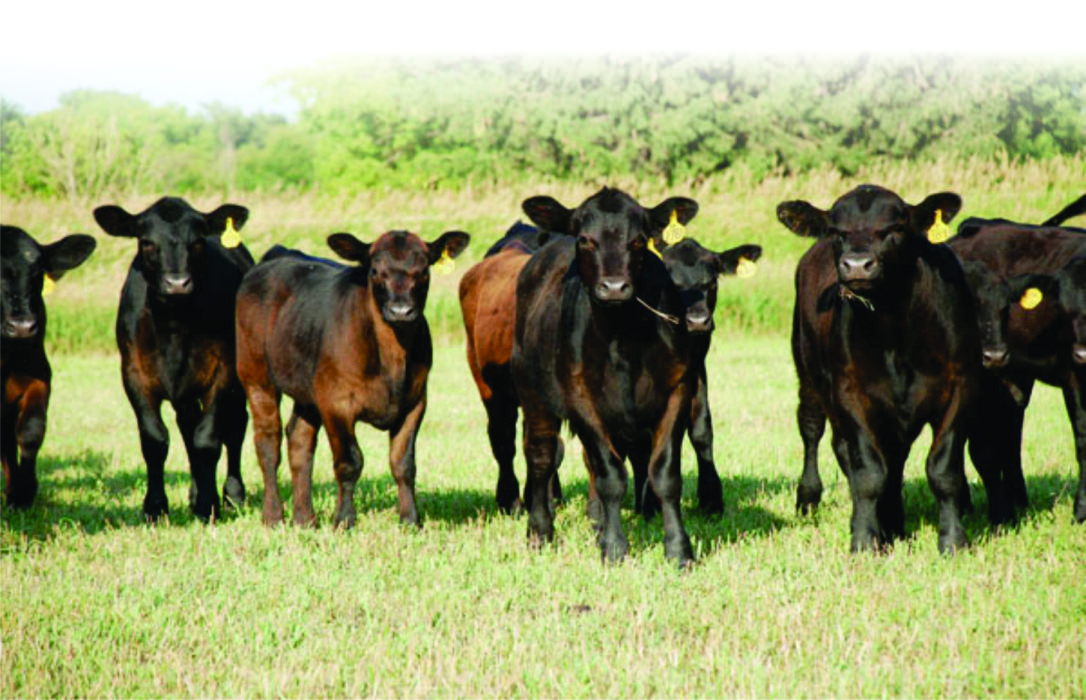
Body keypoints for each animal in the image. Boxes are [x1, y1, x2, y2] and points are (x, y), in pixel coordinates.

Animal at [94, 197, 253, 521]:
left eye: (197, 242)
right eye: (146, 242)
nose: (177, 283)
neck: (174, 326)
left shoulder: (223, 372)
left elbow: (208, 439)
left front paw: (209, 505)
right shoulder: (134, 374)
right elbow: (155, 439)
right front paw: (155, 507)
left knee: (235, 427)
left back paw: (233, 495)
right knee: (187, 427)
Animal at [235, 229, 470, 529]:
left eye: (423, 271)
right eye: (376, 271)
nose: (401, 311)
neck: (392, 358)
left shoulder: (415, 402)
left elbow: (403, 464)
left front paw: (410, 520)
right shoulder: (336, 403)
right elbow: (349, 462)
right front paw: (344, 520)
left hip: (308, 390)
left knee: (299, 440)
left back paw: (305, 518)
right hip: (256, 376)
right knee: (268, 443)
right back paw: (274, 516)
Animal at [511, 187, 704, 566]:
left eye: (639, 240)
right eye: (586, 239)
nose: (614, 287)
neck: (623, 340)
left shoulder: (677, 390)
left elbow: (665, 474)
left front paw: (678, 550)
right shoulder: (580, 399)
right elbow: (610, 476)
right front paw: (615, 548)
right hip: (534, 396)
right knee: (540, 457)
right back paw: (540, 531)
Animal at [778, 184, 983, 553]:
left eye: (894, 229)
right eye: (837, 231)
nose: (857, 265)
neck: (895, 330)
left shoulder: (961, 385)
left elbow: (943, 470)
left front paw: (953, 541)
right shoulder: (850, 392)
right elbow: (868, 473)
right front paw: (864, 540)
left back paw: (894, 524)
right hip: (809, 378)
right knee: (814, 431)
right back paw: (811, 499)